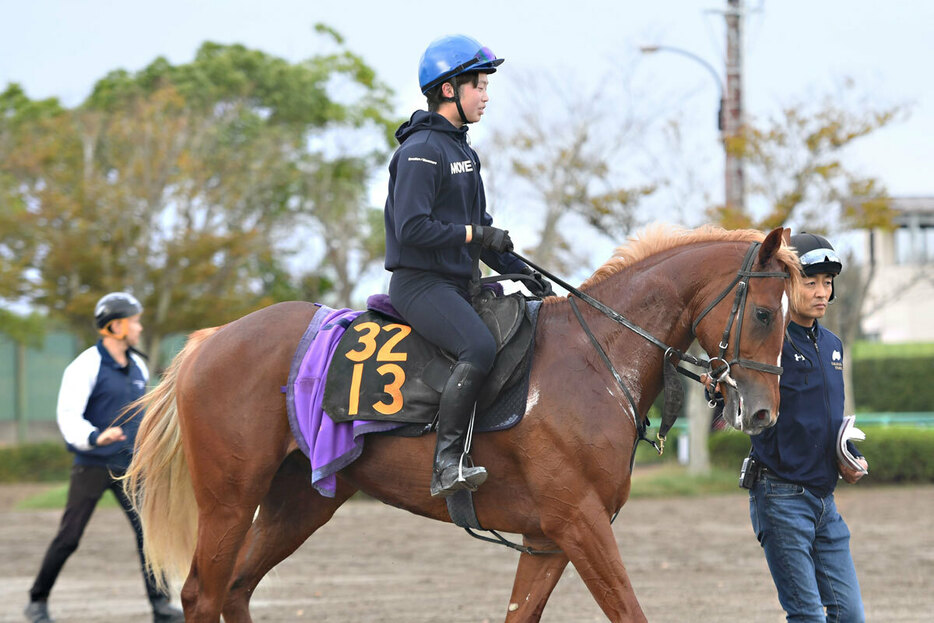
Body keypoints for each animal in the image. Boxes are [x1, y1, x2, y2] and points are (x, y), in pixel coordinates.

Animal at [124, 224, 796, 623]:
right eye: (766, 313)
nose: (765, 412)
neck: (596, 356)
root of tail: (211, 340)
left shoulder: (550, 536)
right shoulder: (578, 522)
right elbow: (629, 611)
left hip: (300, 502)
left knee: (237, 587)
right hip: (230, 501)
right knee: (203, 593)